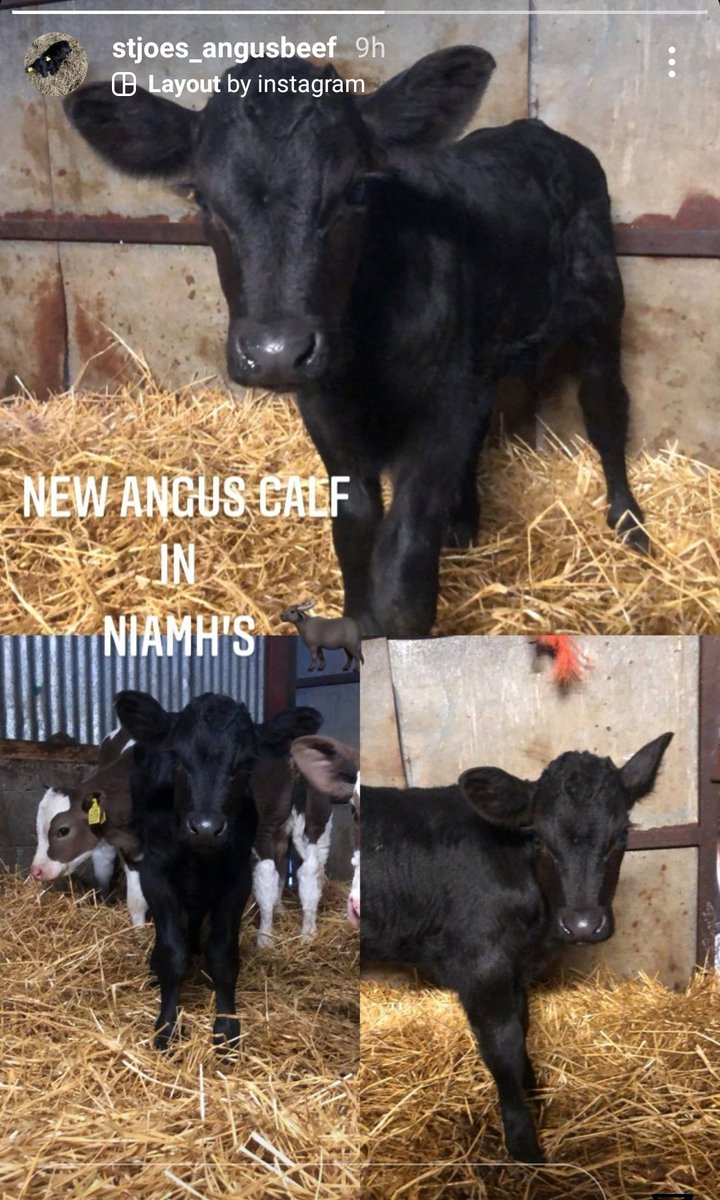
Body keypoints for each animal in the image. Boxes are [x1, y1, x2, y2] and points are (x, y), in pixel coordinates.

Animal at [63, 47, 646, 639]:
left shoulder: (442, 404)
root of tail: (538, 130)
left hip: (602, 307)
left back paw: (629, 523)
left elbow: (405, 567)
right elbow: (355, 529)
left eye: (358, 189)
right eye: (202, 199)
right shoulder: (328, 409)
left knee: (605, 408)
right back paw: (464, 524)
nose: (276, 352)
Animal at [361, 732, 673, 1162]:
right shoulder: (481, 966)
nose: (582, 924)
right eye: (538, 836)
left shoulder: (515, 968)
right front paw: (525, 1145)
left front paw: (535, 1096)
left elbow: (523, 1028)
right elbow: (502, 1046)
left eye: (622, 835)